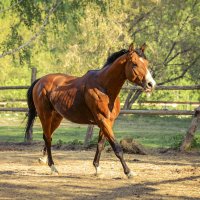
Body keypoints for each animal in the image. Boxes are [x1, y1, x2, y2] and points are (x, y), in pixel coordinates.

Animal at [25, 43, 156, 178]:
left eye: (146, 63)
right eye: (134, 63)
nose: (151, 84)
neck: (103, 87)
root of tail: (40, 81)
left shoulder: (108, 122)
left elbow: (100, 145)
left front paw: (97, 168)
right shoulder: (102, 120)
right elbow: (117, 148)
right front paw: (129, 172)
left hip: (56, 117)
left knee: (48, 137)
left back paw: (44, 159)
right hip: (45, 116)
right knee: (47, 138)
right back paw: (53, 167)